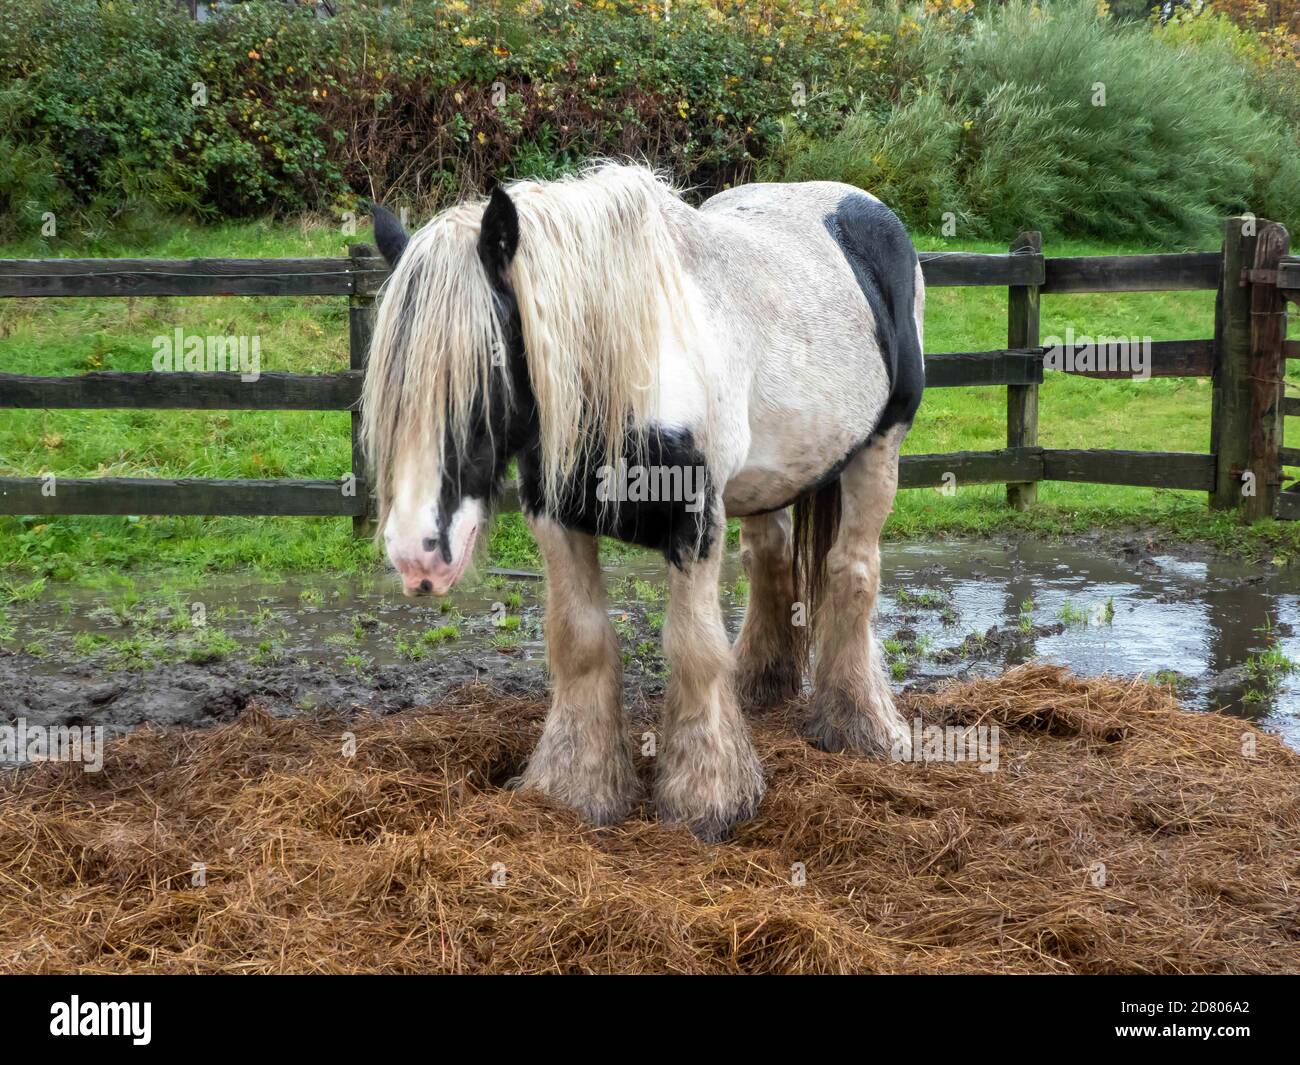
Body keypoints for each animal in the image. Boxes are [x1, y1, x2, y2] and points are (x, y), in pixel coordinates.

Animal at [361, 162, 924, 840]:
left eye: (485, 370)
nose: (416, 556)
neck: (627, 367)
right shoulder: (557, 519)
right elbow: (579, 641)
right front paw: (577, 789)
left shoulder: (695, 525)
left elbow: (693, 649)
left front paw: (706, 799)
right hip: (771, 482)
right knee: (771, 562)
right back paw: (759, 687)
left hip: (879, 448)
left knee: (851, 572)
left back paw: (859, 726)